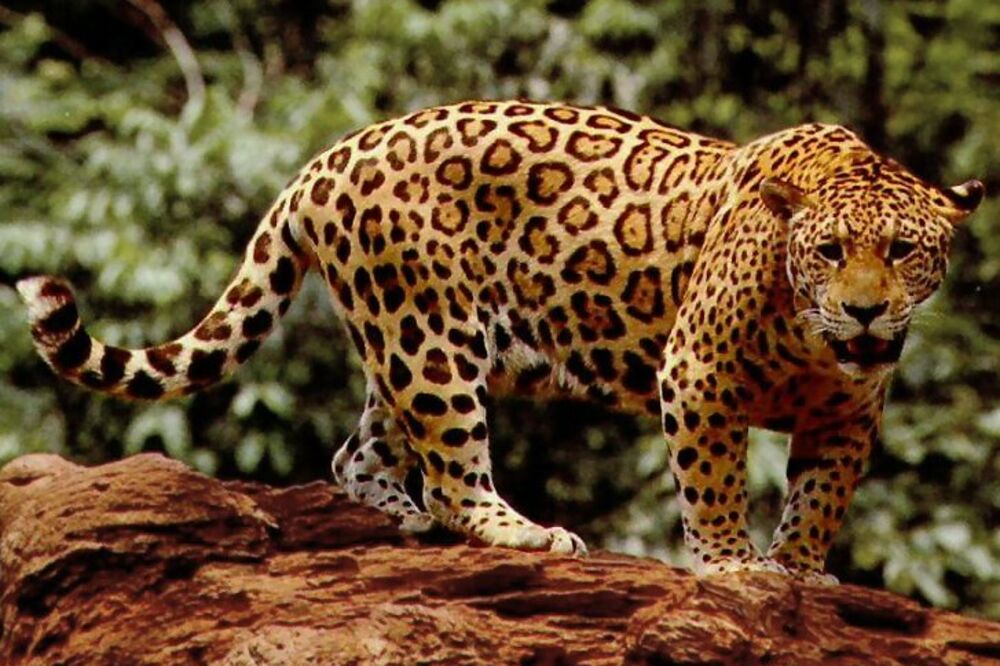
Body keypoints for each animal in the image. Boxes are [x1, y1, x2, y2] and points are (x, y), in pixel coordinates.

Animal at [17, 100, 983, 580]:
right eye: (830, 252)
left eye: (902, 251)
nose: (865, 312)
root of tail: (324, 160)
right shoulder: (697, 372)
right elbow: (712, 480)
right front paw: (732, 568)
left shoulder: (848, 413)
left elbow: (821, 496)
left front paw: (803, 569)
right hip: (432, 339)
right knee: (452, 472)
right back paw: (521, 533)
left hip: (405, 341)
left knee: (358, 452)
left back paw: (404, 522)